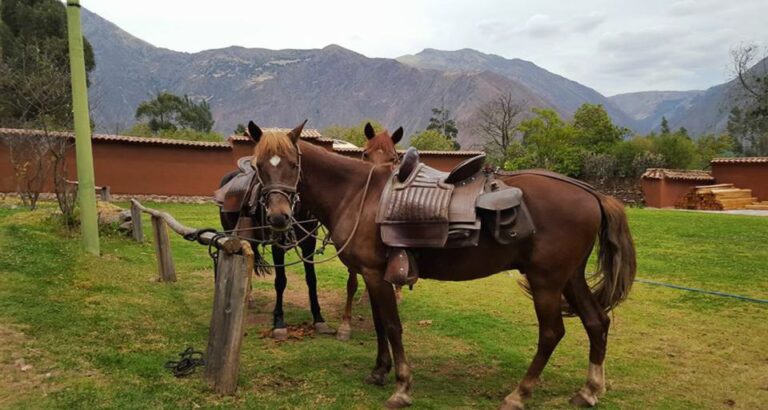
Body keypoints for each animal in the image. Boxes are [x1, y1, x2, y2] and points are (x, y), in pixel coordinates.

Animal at [248, 120, 636, 408]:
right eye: (258, 166)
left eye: (293, 165)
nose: (279, 217)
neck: (358, 195)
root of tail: (591, 193)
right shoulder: (375, 276)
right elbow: (379, 323)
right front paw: (379, 371)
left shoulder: (375, 274)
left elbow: (392, 326)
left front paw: (401, 386)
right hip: (570, 277)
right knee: (596, 321)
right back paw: (589, 391)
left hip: (547, 282)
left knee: (552, 333)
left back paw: (519, 394)